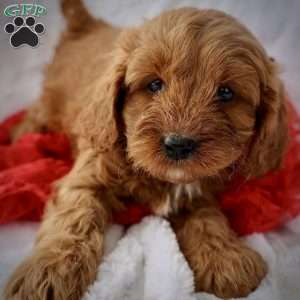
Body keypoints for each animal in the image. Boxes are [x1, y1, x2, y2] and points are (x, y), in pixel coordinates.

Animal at [4, 0, 288, 298]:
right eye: (154, 85)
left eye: (226, 93)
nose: (178, 144)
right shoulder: (90, 171)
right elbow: (74, 216)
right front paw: (49, 271)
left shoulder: (197, 188)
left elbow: (206, 218)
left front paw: (224, 257)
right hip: (50, 102)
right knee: (35, 115)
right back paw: (18, 137)